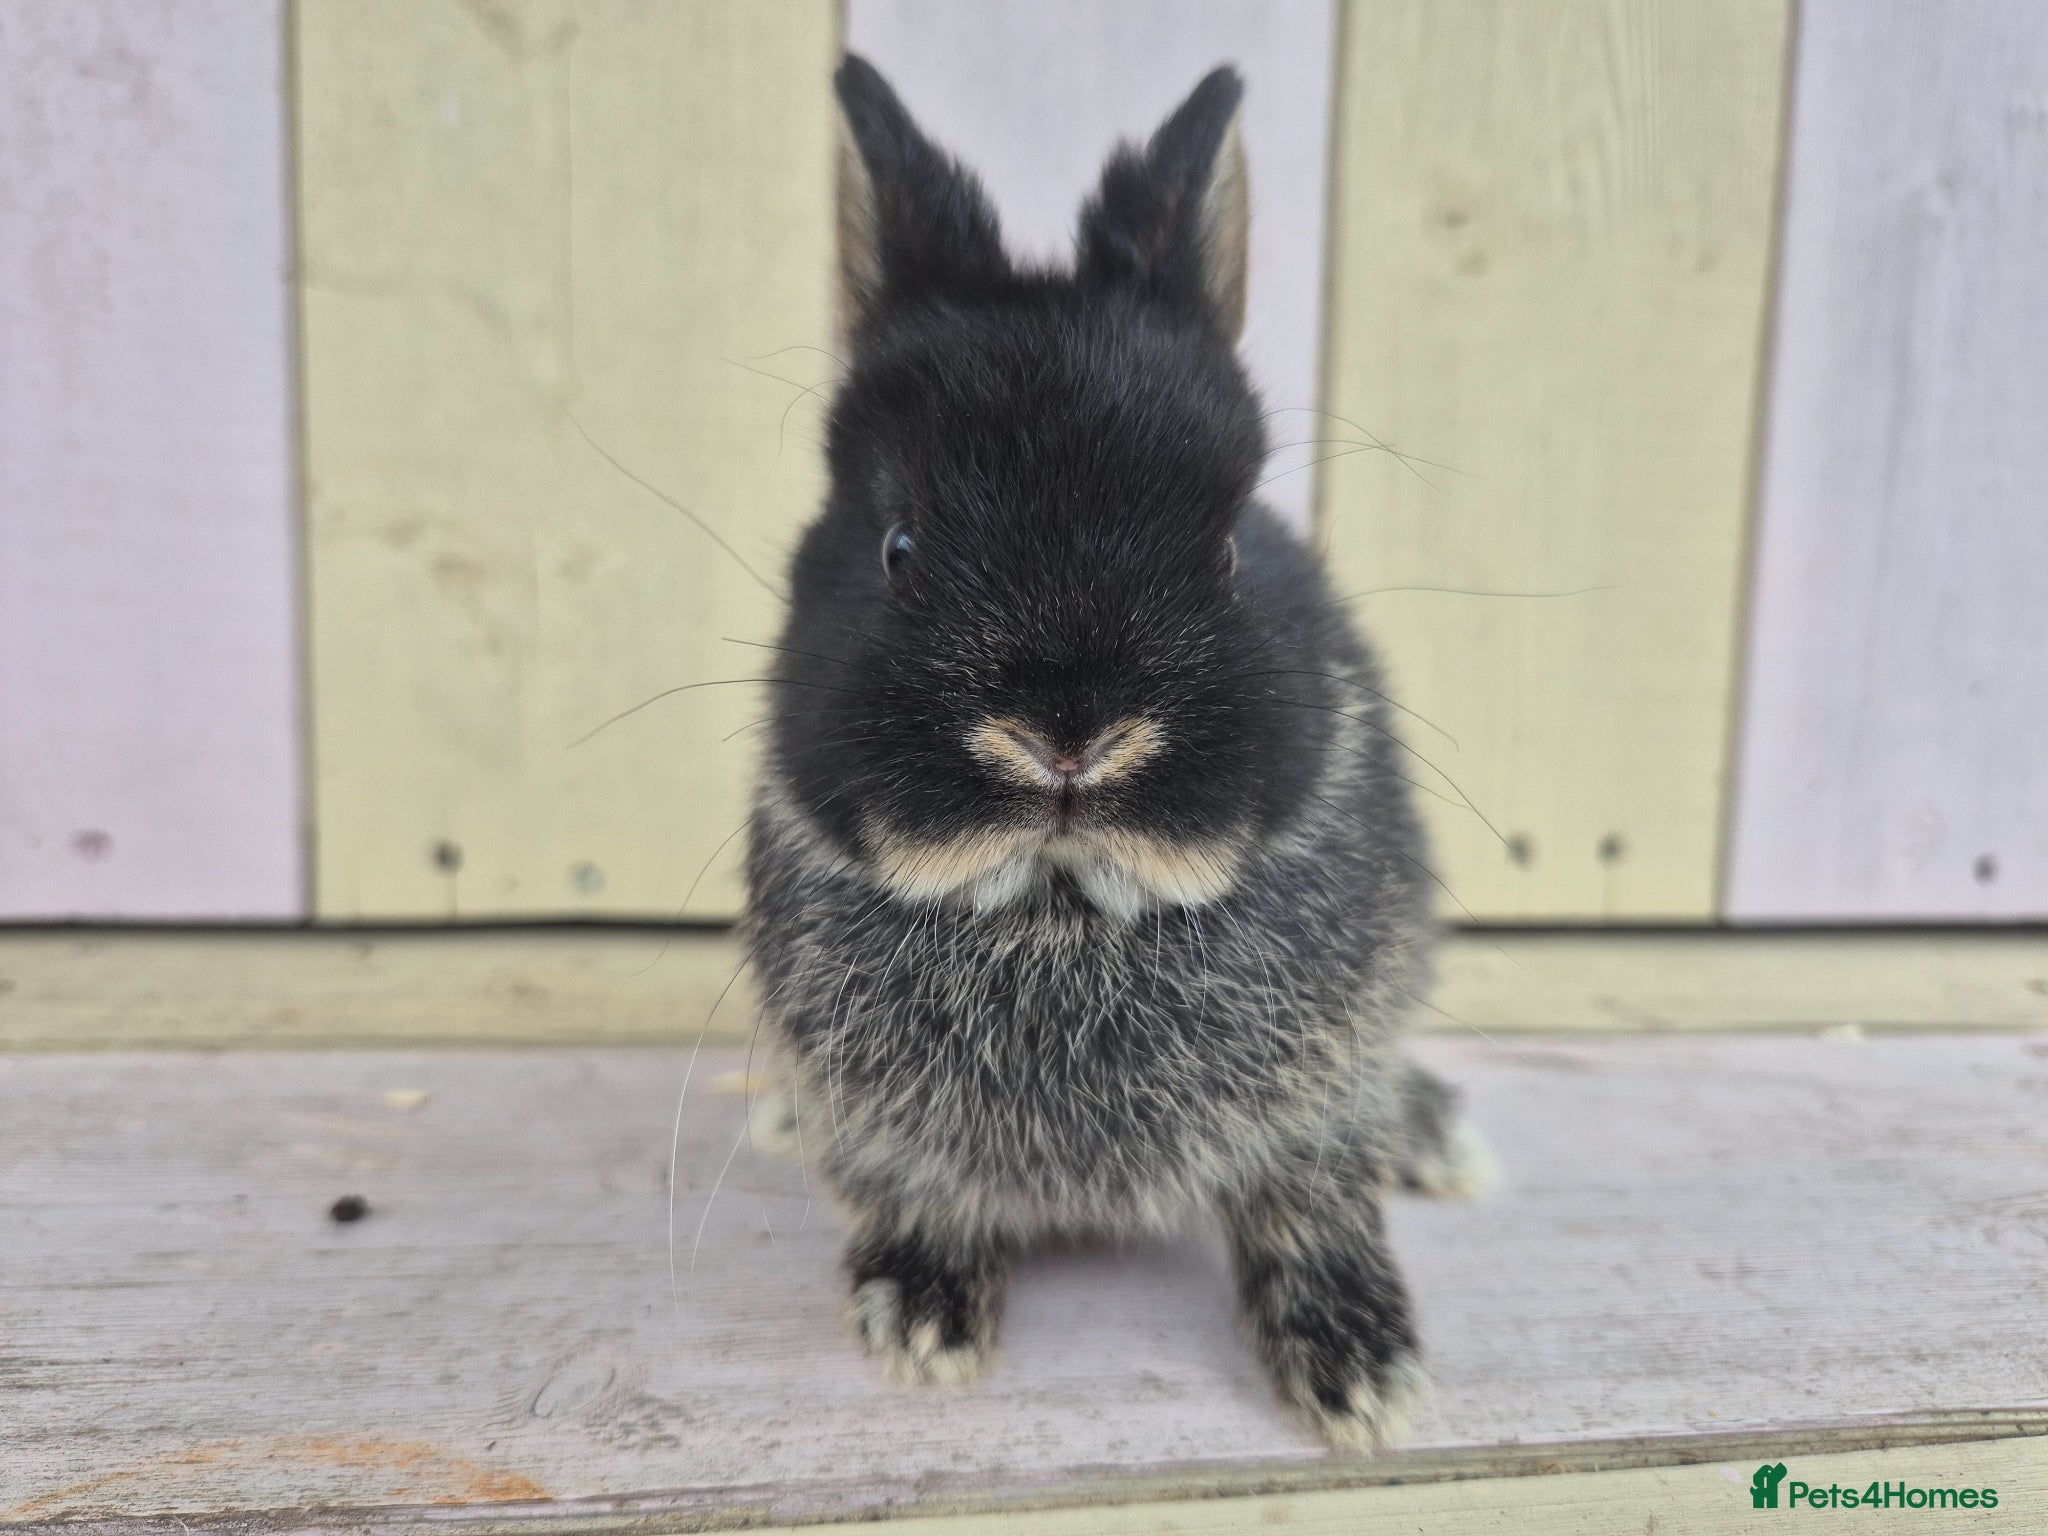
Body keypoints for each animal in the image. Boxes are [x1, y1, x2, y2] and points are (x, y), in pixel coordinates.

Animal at [742, 54, 1492, 1453]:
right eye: (899, 549)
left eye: (1228, 552)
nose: (1065, 741)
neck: (1062, 912)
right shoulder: (885, 1132)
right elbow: (910, 1189)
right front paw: (920, 1321)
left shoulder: (1319, 1100)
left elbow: (1312, 1202)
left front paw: (1362, 1380)